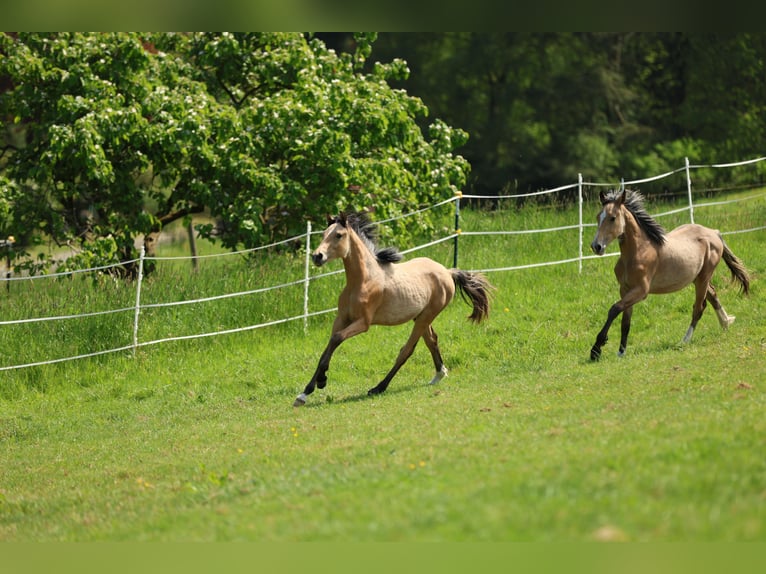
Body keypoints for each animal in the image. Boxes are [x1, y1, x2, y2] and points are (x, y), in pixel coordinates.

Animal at [292, 213, 496, 410]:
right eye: (323, 234)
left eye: (339, 235)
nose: (317, 256)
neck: (363, 281)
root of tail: (447, 272)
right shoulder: (341, 319)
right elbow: (327, 349)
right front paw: (307, 391)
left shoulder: (363, 323)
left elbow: (336, 339)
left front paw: (317, 384)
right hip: (420, 317)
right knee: (432, 340)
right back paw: (439, 374)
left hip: (426, 316)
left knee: (407, 350)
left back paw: (378, 387)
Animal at [592, 189, 752, 362]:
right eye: (598, 216)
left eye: (612, 217)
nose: (596, 246)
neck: (639, 251)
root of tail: (714, 233)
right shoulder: (625, 289)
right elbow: (625, 322)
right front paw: (621, 352)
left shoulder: (641, 291)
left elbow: (614, 309)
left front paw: (596, 349)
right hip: (698, 278)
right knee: (713, 296)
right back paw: (726, 323)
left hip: (704, 277)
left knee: (699, 308)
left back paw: (684, 341)